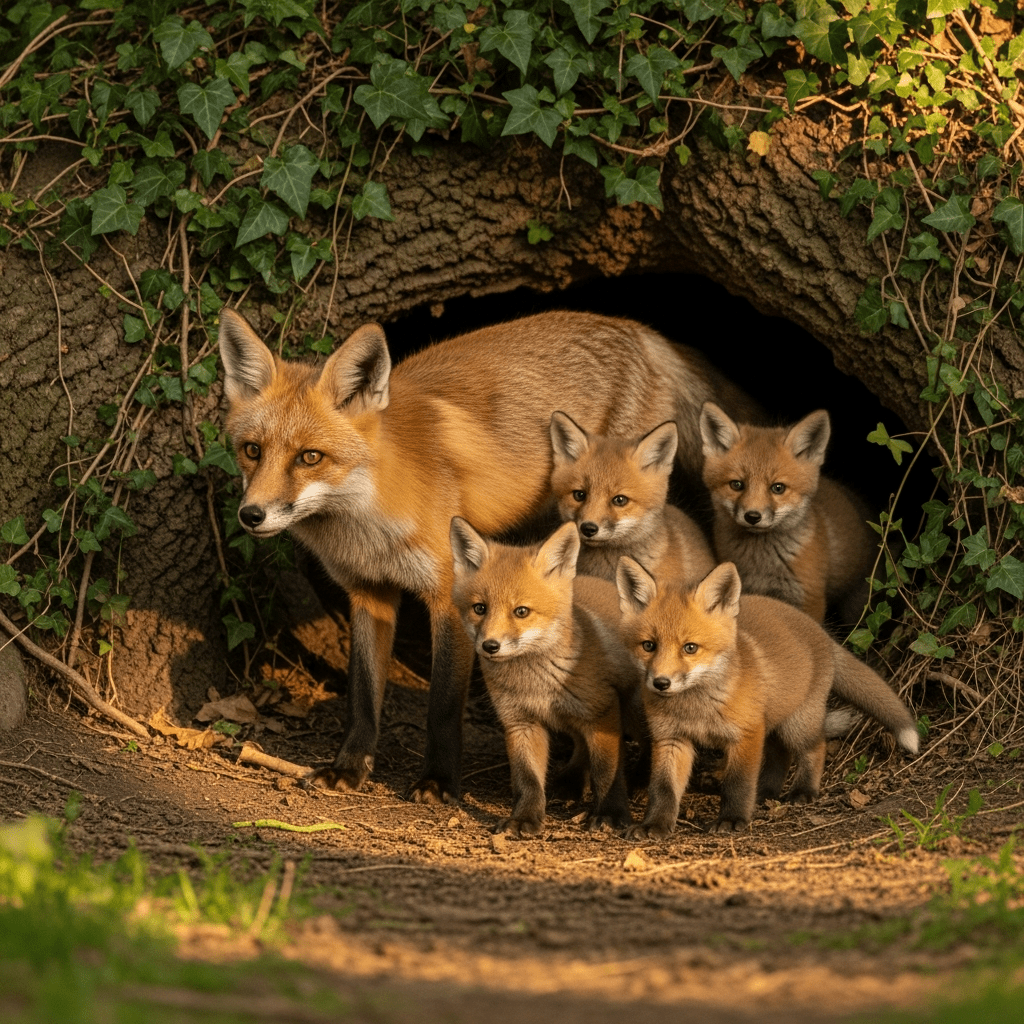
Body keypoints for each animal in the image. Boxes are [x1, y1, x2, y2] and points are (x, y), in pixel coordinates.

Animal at [450, 518, 644, 835]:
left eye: (521, 611)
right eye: (480, 608)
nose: (490, 646)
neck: (536, 683)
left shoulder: (603, 713)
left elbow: (607, 770)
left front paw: (611, 814)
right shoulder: (520, 722)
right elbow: (527, 780)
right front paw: (524, 818)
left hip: (636, 709)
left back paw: (640, 781)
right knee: (580, 746)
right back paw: (571, 782)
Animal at [615, 559, 919, 838]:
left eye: (690, 648)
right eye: (648, 646)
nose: (661, 683)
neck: (696, 708)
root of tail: (821, 631)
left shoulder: (746, 733)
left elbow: (738, 783)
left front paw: (732, 819)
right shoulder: (671, 738)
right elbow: (663, 788)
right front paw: (654, 824)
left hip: (797, 725)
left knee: (816, 746)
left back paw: (803, 790)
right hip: (774, 722)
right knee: (780, 754)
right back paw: (766, 792)